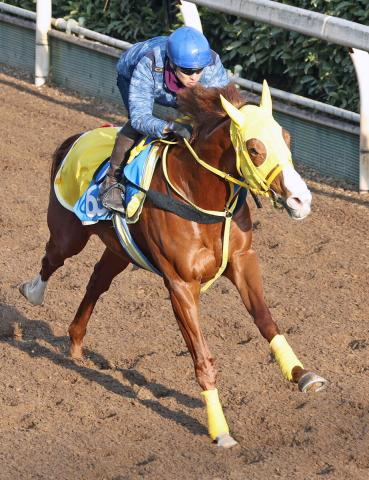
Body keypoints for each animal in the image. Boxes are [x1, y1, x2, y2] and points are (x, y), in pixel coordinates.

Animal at [18, 81, 326, 446]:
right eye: (253, 148)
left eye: (287, 137)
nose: (301, 200)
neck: (199, 195)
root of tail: (74, 137)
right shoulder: (180, 284)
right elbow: (203, 358)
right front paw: (219, 429)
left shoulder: (242, 261)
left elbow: (267, 321)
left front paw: (301, 373)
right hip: (70, 233)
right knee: (52, 257)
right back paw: (32, 293)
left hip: (119, 250)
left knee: (96, 282)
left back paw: (76, 344)